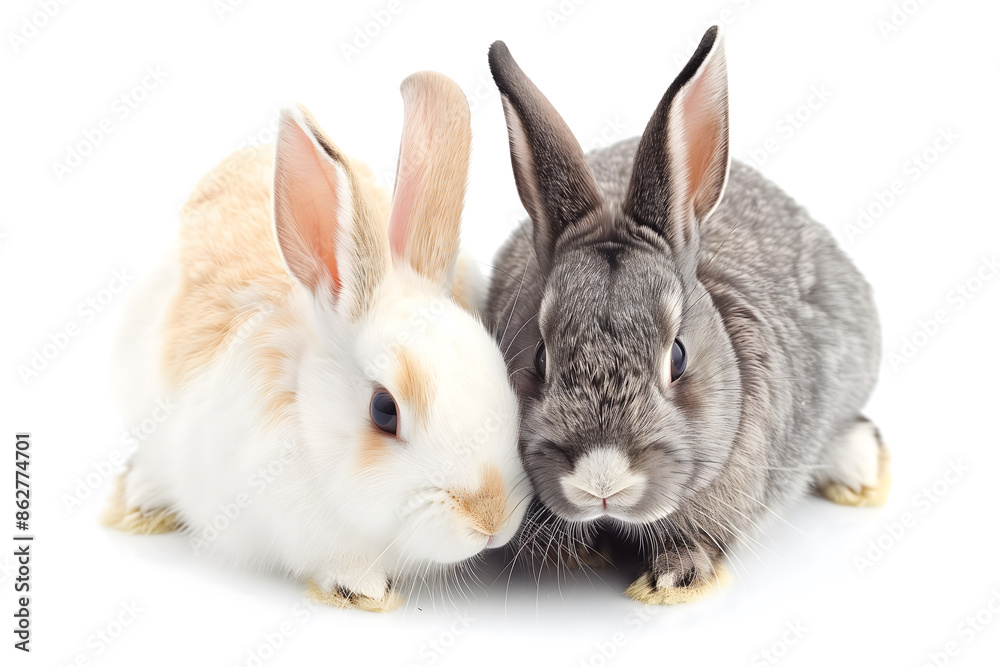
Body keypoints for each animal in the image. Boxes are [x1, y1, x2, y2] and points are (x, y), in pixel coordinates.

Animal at [485, 27, 890, 605]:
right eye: (539, 357)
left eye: (677, 357)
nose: (601, 481)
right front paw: (571, 553)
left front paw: (672, 581)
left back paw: (860, 472)